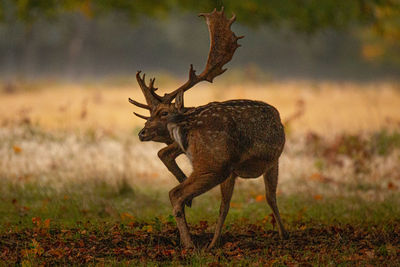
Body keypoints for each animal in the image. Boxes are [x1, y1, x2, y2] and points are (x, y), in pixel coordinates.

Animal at [128, 8, 288, 251]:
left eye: (161, 113)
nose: (141, 132)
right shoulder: (272, 160)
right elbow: (270, 197)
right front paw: (284, 234)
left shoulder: (233, 171)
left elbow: (226, 204)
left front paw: (215, 241)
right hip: (214, 163)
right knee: (175, 193)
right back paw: (189, 244)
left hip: (213, 164)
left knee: (171, 173)